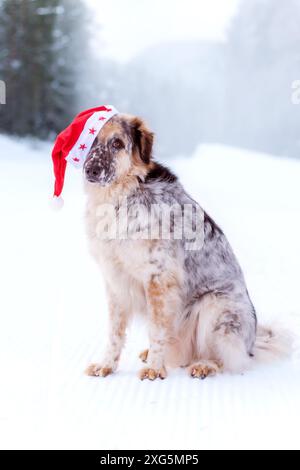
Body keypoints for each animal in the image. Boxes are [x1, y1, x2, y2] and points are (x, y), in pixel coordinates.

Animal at [84, 114, 286, 382]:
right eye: (92, 141)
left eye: (117, 143)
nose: (91, 170)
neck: (122, 197)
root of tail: (252, 344)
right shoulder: (115, 280)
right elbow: (115, 333)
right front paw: (106, 365)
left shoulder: (159, 279)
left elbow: (157, 330)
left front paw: (154, 369)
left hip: (215, 306)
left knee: (227, 359)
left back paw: (204, 365)